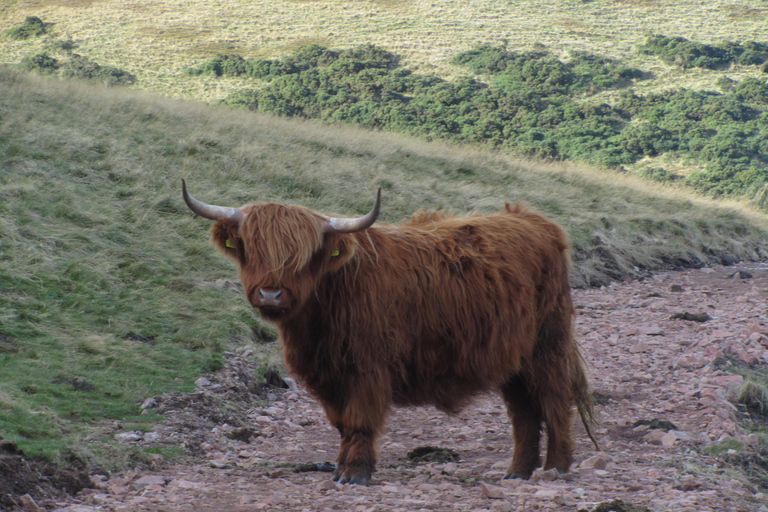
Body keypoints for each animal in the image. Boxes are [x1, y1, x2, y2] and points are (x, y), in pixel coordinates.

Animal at [182, 179, 598, 485]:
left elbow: (360, 420)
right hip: (512, 356)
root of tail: (533, 219)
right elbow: (342, 424)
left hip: (547, 344)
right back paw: (517, 471)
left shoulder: (367, 368)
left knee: (554, 400)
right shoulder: (328, 376)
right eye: (251, 249)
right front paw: (339, 467)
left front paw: (355, 474)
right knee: (523, 411)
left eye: (303, 257)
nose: (271, 293)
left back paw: (556, 466)